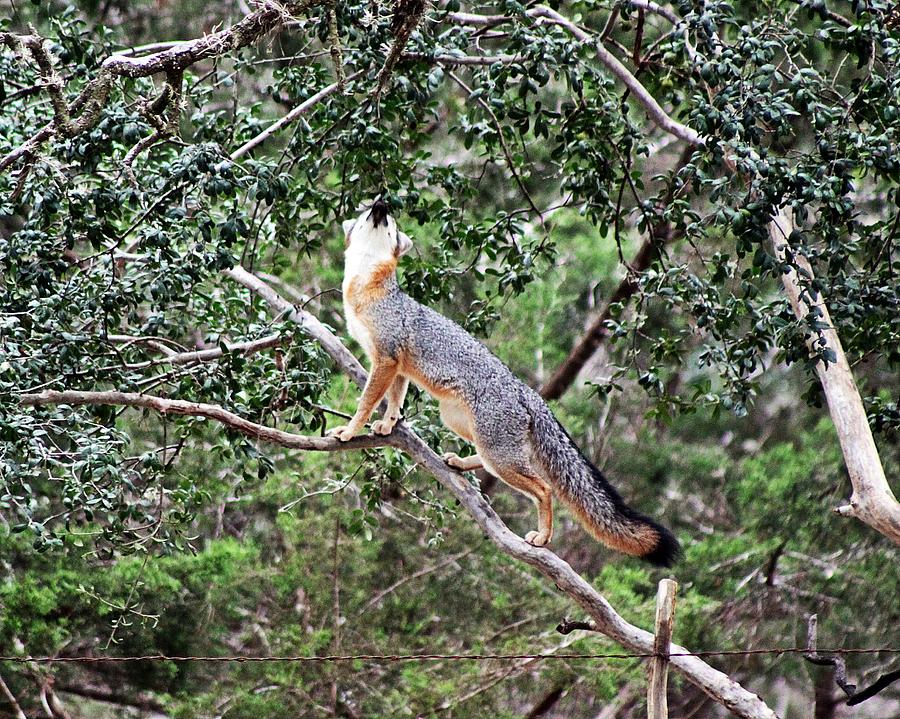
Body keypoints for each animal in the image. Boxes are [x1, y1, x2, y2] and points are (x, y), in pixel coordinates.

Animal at [330, 198, 684, 568]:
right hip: (461, 424)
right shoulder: (396, 365)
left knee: (543, 488)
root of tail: (527, 391)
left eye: (389, 223)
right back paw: (461, 463)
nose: (382, 203)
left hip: (497, 452)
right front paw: (388, 424)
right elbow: (395, 400)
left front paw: (350, 430)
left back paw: (543, 538)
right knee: (491, 462)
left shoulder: (386, 357)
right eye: (368, 210)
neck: (366, 288)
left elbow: (366, 401)